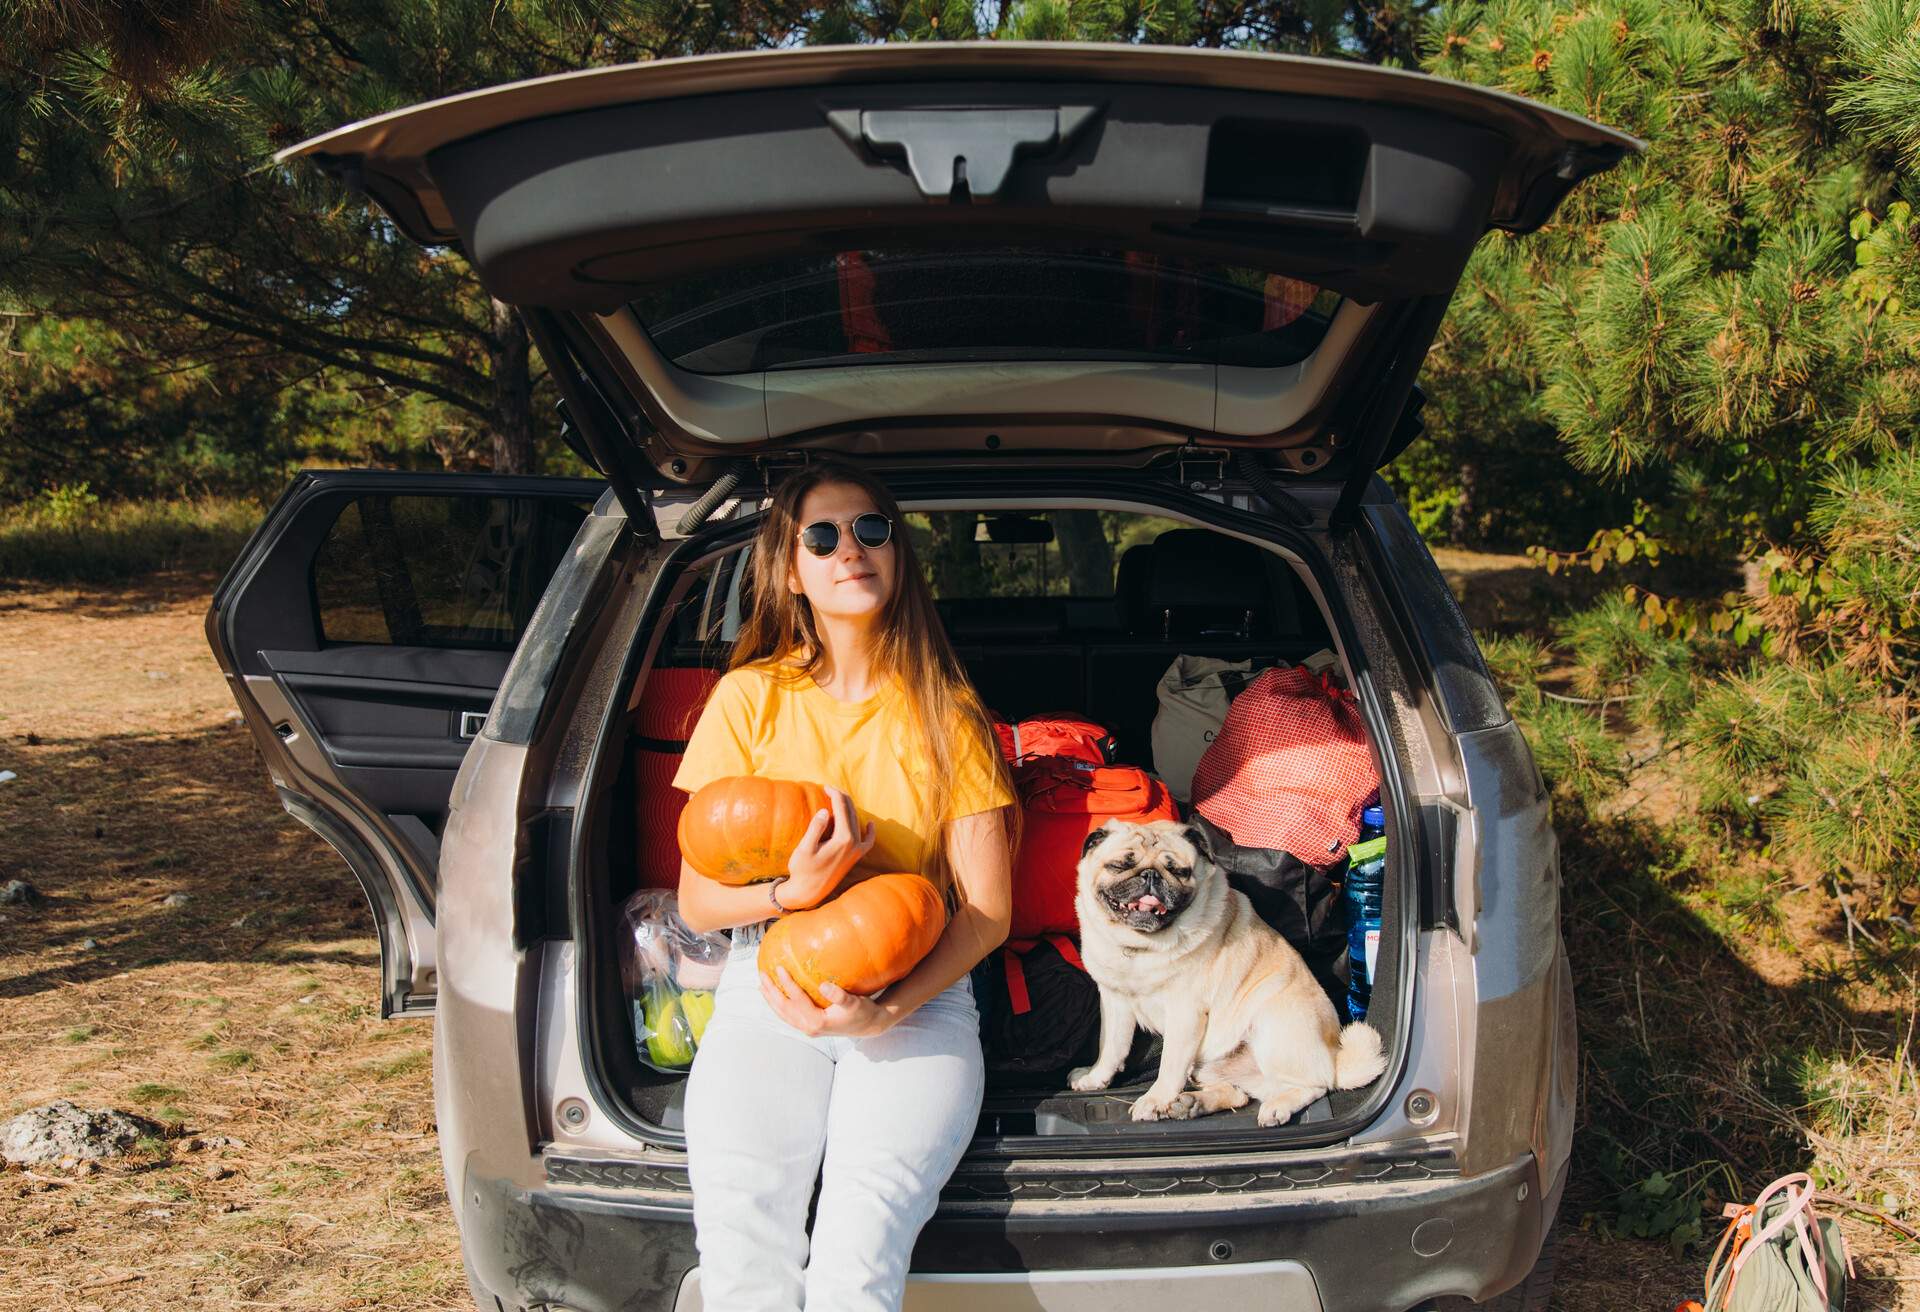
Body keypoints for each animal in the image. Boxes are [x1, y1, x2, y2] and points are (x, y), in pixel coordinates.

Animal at [1075, 814, 1390, 1121]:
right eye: (1119, 865)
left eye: (1179, 871)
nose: (1150, 875)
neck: (1140, 946)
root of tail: (1333, 1060)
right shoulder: (1115, 1003)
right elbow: (1111, 1047)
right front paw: (1095, 1077)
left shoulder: (1185, 1014)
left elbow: (1169, 1065)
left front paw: (1155, 1100)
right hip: (1210, 1065)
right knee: (1239, 1093)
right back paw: (1192, 1103)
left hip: (1271, 1027)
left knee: (1314, 1085)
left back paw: (1276, 1107)